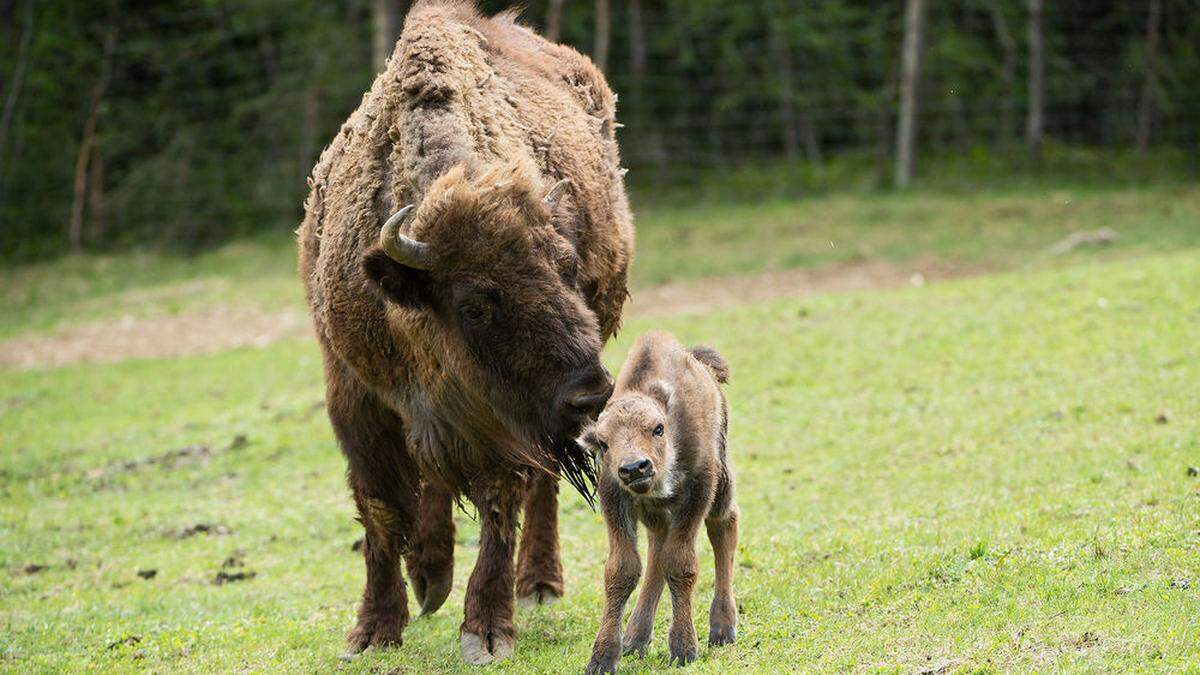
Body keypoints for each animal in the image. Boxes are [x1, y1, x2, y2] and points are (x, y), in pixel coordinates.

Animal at [295, 0, 633, 662]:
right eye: (476, 304)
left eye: (567, 268)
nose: (589, 395)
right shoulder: (357, 399)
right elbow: (380, 509)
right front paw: (372, 631)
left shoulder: (503, 424)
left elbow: (503, 499)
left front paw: (486, 630)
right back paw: (430, 577)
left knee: (542, 483)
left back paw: (537, 584)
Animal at [583, 329, 739, 667]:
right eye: (604, 443)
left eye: (658, 428)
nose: (634, 468)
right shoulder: (615, 497)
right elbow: (622, 569)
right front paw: (602, 657)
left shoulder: (697, 491)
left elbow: (680, 564)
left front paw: (683, 649)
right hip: (653, 512)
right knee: (657, 546)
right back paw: (635, 637)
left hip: (720, 485)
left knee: (724, 526)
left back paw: (722, 628)